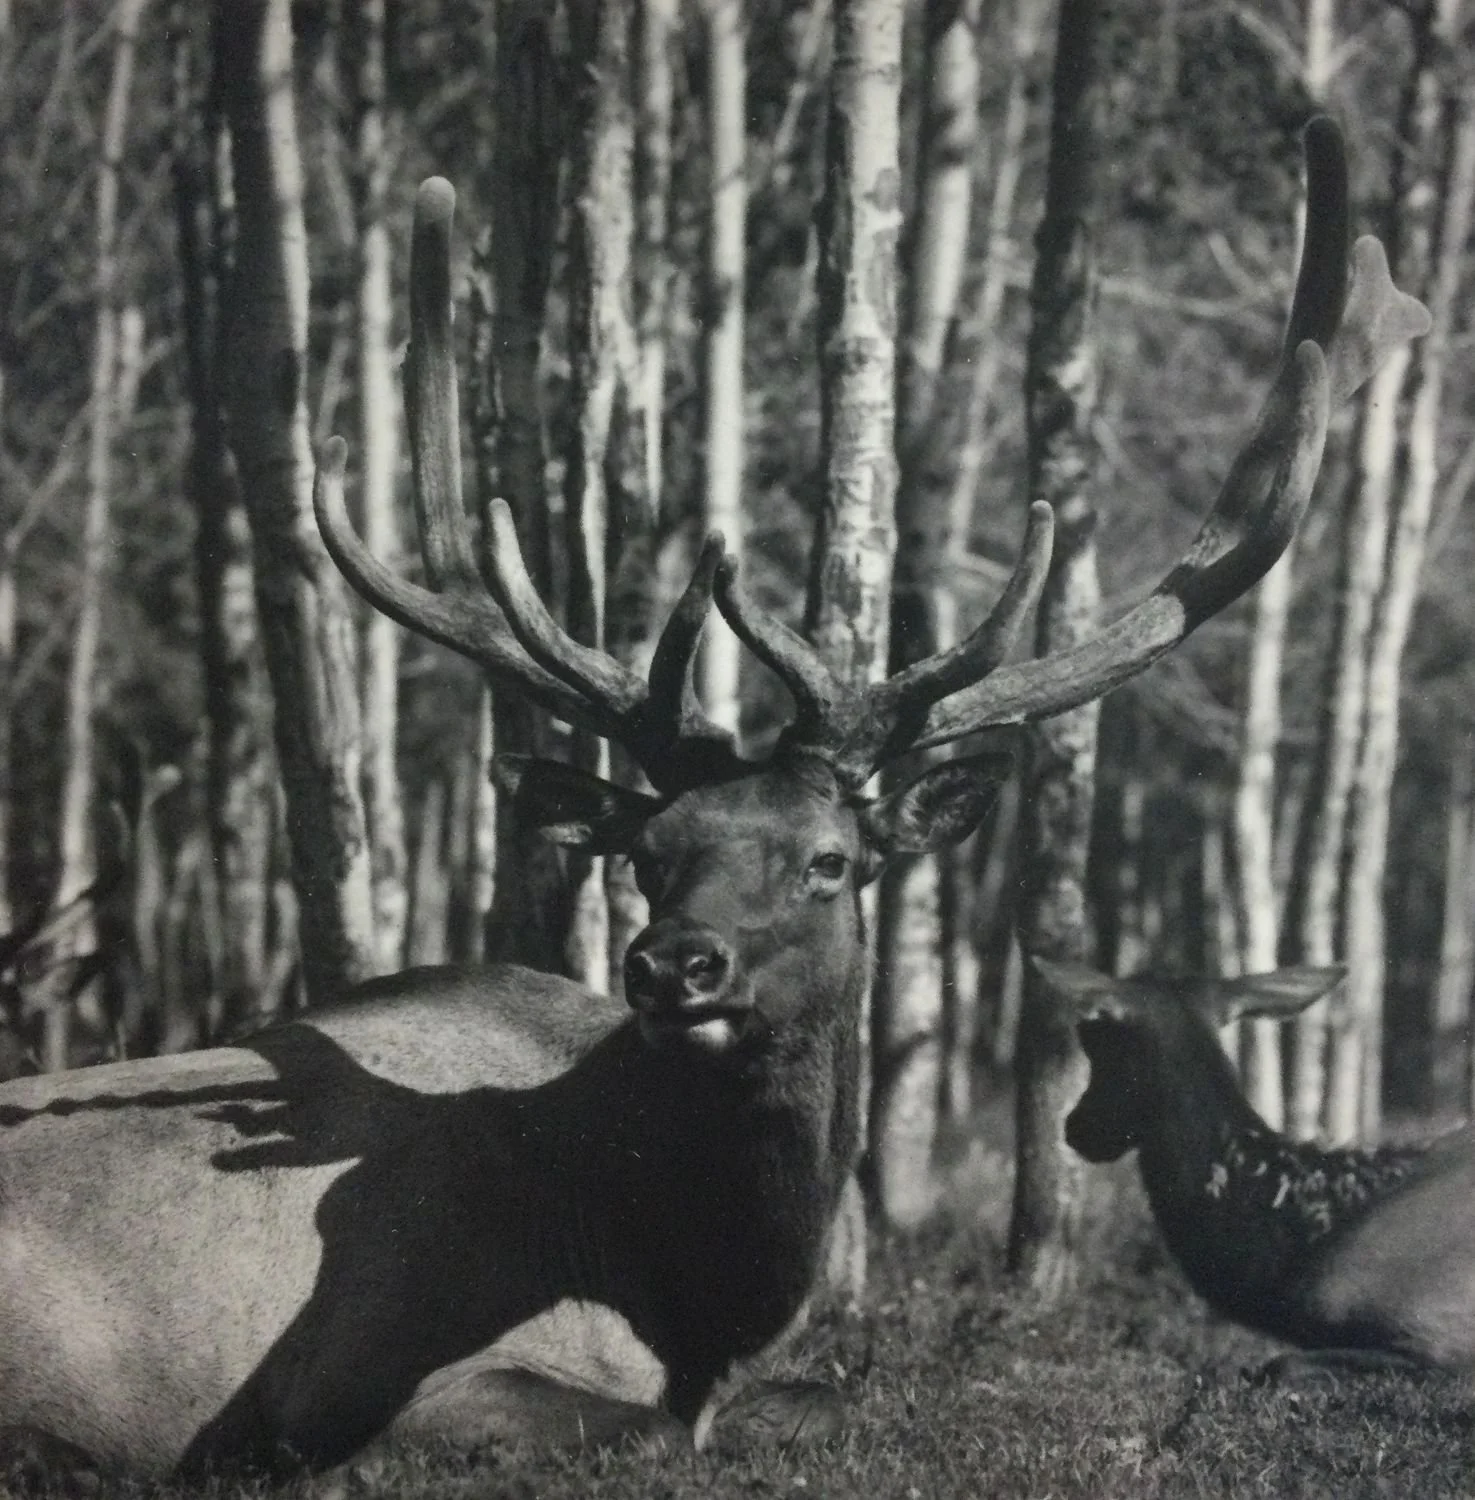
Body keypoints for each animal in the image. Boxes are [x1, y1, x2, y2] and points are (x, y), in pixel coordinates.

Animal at [0, 118, 1430, 1480]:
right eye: (647, 851)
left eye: (830, 860)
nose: (672, 964)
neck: (695, 1282)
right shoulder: (352, 1384)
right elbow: (652, 1429)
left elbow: (800, 1397)